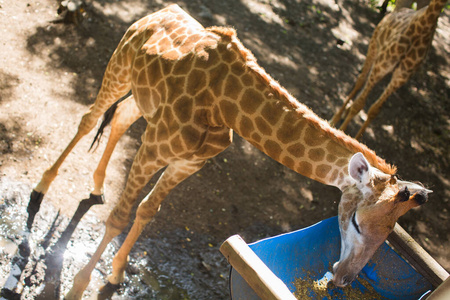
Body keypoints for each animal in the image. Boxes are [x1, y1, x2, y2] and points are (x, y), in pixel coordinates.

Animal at [25, 4, 432, 298]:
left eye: (389, 237)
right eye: (357, 223)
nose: (344, 279)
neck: (226, 106)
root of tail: (158, 11)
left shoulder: (187, 163)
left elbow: (147, 211)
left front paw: (116, 274)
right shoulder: (153, 150)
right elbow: (119, 217)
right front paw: (78, 288)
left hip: (143, 101)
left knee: (121, 118)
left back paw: (95, 186)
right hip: (119, 68)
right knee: (88, 119)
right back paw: (39, 191)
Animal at [328, 0, 448, 139]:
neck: (423, 26)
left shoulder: (400, 78)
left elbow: (374, 110)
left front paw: (356, 140)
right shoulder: (382, 67)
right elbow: (359, 105)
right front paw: (341, 131)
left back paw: (344, 113)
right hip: (374, 48)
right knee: (360, 81)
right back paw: (334, 119)